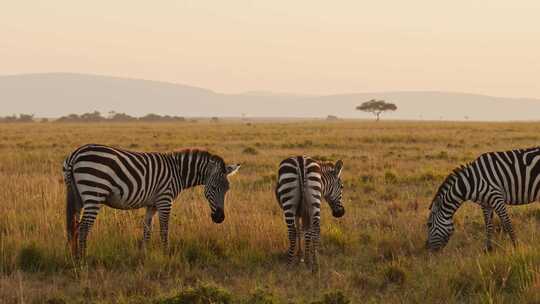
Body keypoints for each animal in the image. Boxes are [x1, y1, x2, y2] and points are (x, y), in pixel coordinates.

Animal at [62, 144, 240, 258]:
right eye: (214, 187)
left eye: (227, 189)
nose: (220, 218)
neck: (178, 172)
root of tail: (75, 154)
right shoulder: (165, 200)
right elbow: (164, 229)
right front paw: (166, 254)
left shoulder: (152, 204)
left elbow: (147, 229)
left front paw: (144, 255)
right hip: (94, 193)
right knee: (84, 227)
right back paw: (83, 258)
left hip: (78, 196)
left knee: (74, 226)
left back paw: (74, 256)